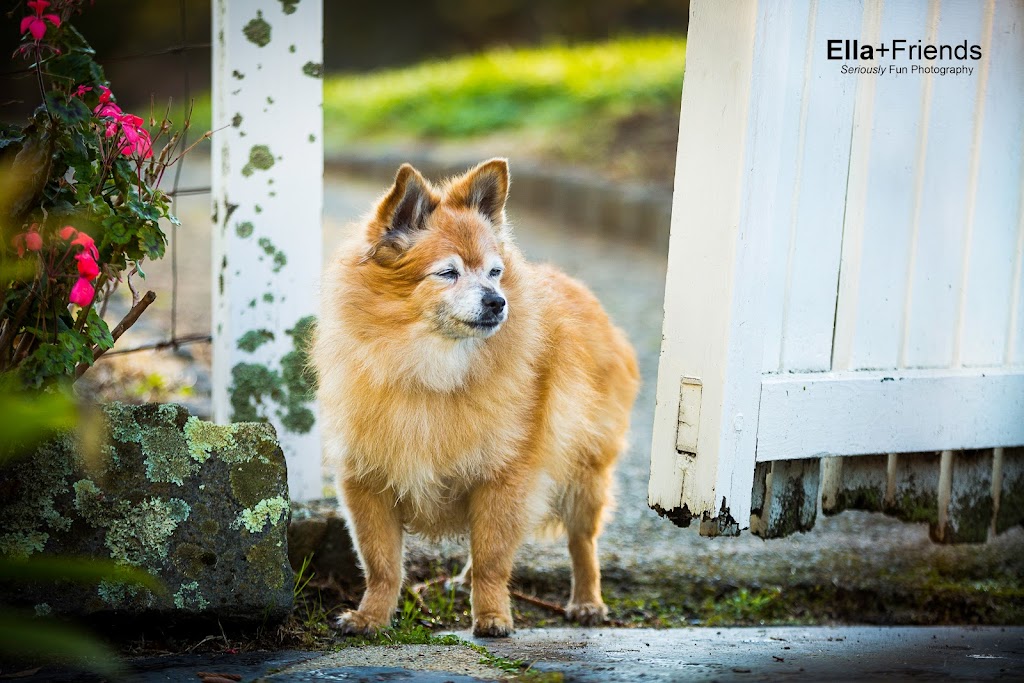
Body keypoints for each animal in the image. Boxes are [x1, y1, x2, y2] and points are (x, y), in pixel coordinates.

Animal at [311, 158, 634, 634]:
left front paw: (493, 615)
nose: (497, 301)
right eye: (449, 273)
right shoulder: (366, 480)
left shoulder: (505, 476)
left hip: (585, 475)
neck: (428, 366)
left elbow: (492, 558)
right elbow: (382, 562)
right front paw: (371, 616)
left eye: (494, 273)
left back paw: (587, 601)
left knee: (582, 542)